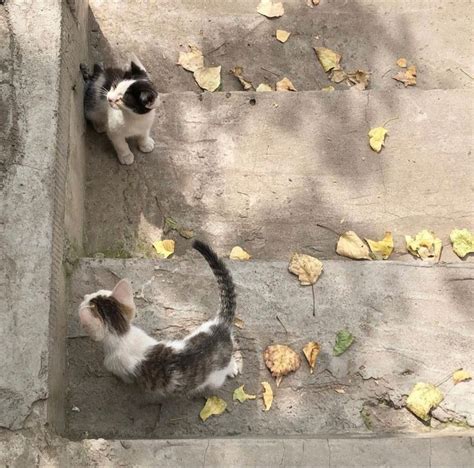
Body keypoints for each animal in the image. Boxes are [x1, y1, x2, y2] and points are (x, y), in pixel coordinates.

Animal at [79, 241, 241, 394]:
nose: (85, 295)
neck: (122, 334)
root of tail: (221, 326)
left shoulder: (117, 365)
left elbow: (124, 377)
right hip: (201, 329)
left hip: (215, 379)